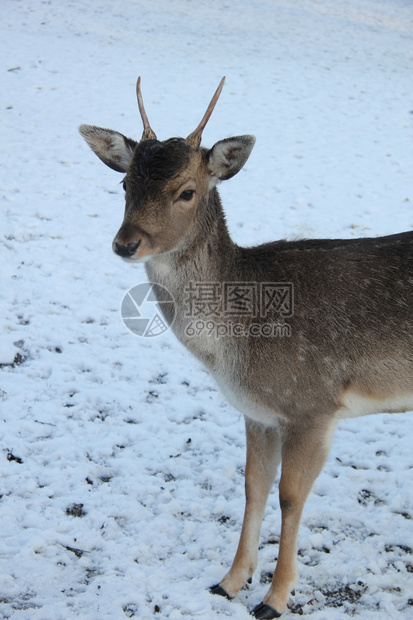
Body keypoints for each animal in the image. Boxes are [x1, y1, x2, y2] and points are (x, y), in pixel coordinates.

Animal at [79, 80, 412, 616]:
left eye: (186, 191)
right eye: (125, 185)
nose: (126, 243)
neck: (235, 352)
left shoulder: (312, 404)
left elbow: (291, 496)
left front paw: (274, 598)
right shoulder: (257, 411)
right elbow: (253, 486)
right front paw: (230, 581)